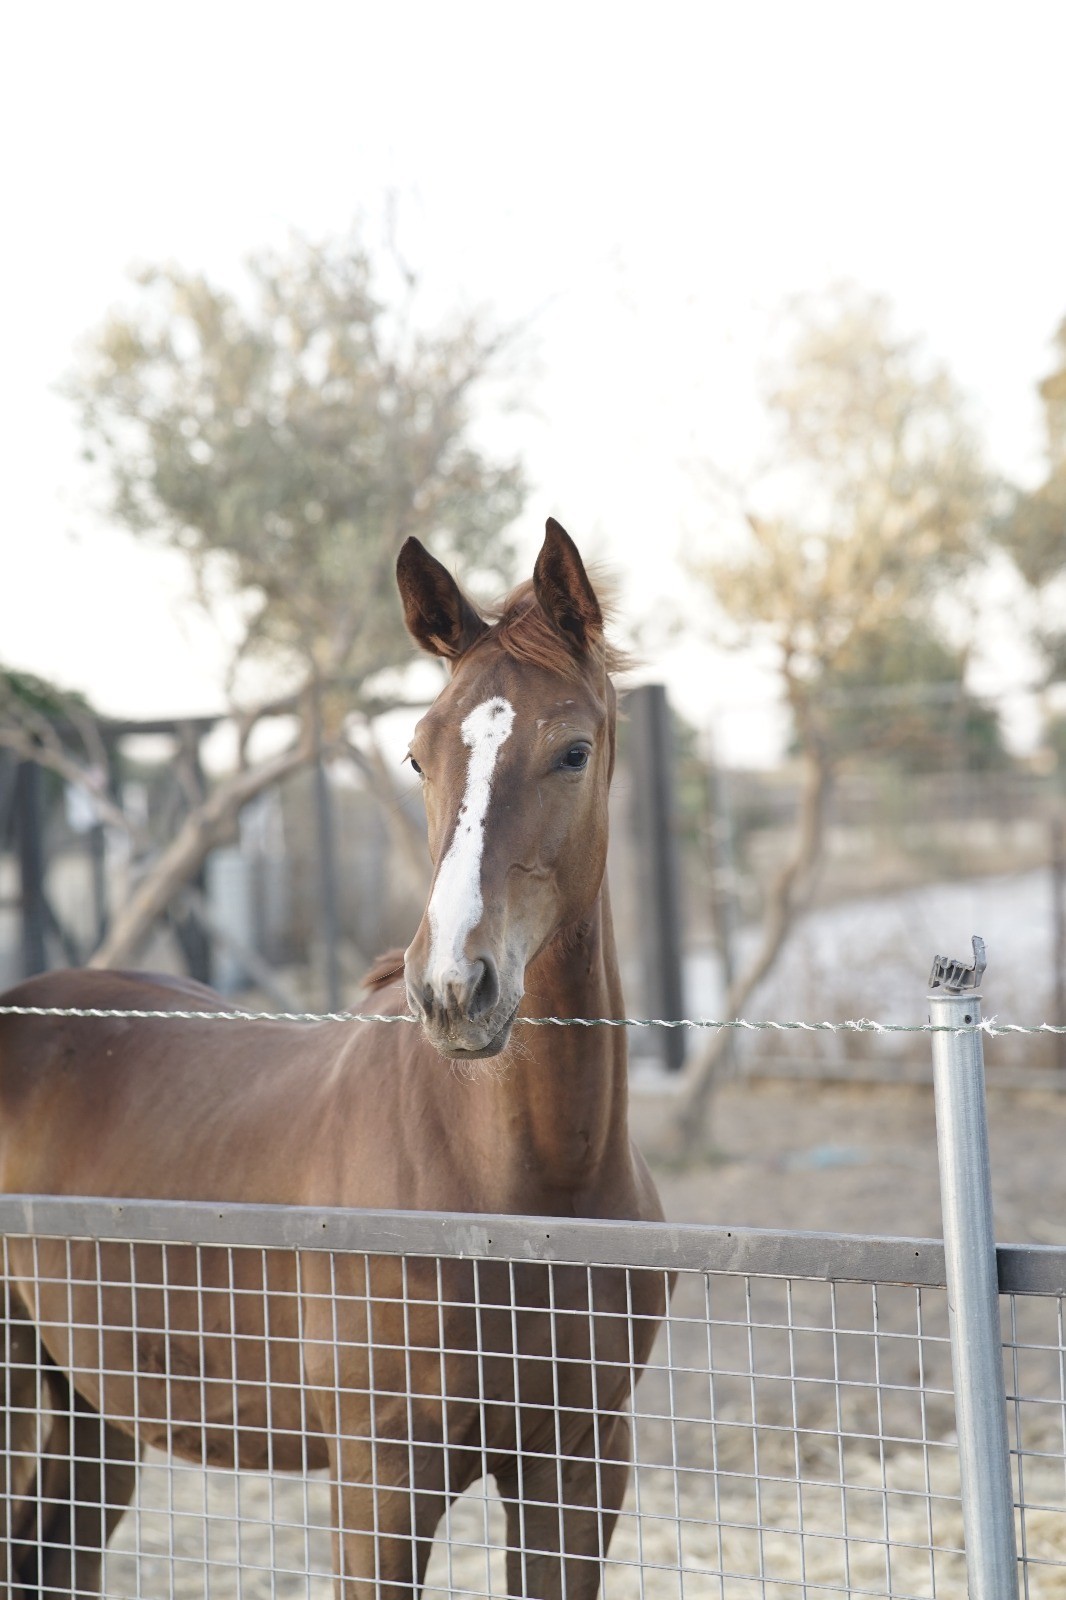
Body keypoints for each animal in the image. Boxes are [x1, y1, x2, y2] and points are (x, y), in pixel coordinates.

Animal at [0, 519, 666, 1597]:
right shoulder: (379, 1484)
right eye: (417, 756)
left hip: (91, 1420)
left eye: (572, 750)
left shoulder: (577, 1470)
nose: (454, 988)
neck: (523, 1190)